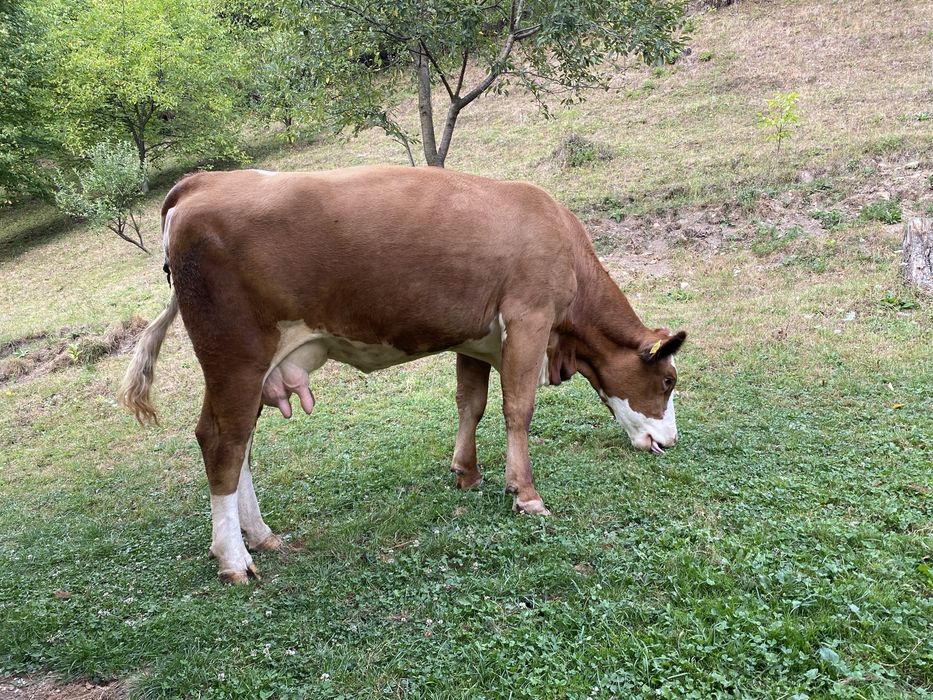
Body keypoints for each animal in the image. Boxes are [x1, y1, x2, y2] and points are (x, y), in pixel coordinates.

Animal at [119, 166, 686, 583]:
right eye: (668, 382)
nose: (671, 442)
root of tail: (202, 181)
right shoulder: (529, 317)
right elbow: (517, 409)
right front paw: (525, 494)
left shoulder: (476, 336)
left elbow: (471, 403)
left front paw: (466, 473)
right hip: (234, 355)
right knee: (222, 441)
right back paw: (235, 559)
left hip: (256, 367)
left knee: (242, 446)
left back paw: (260, 535)